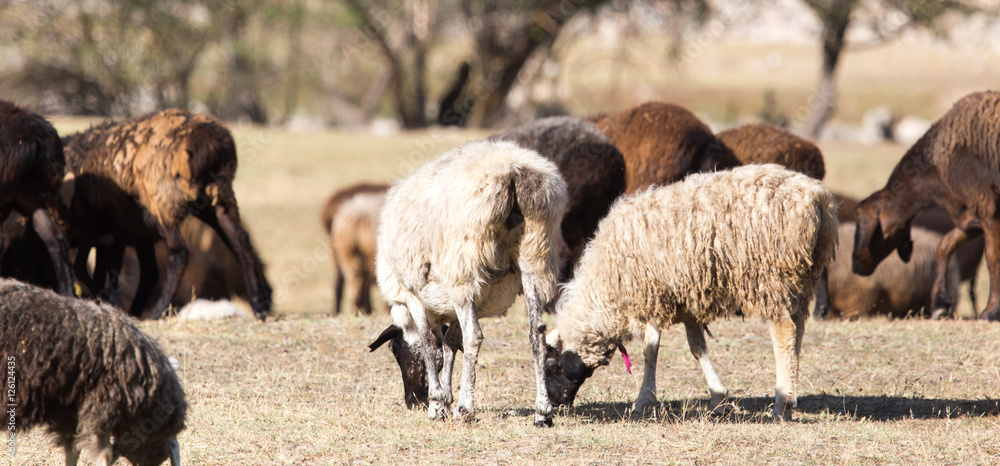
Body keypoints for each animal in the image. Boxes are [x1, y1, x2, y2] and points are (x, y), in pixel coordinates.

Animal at [60, 109, 272, 320]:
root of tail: (211, 142)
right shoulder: (127, 231)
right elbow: (121, 269)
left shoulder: (98, 228)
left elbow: (88, 267)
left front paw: (106, 299)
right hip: (218, 197)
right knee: (239, 239)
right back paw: (259, 304)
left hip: (164, 201)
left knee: (179, 252)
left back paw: (158, 310)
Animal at [375, 140, 567, 426]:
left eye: (394, 350)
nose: (413, 402)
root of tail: (513, 171)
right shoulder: (456, 303)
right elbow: (450, 344)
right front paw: (445, 397)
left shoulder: (412, 293)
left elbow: (430, 344)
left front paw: (437, 404)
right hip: (535, 252)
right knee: (537, 333)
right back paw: (542, 411)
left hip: (462, 265)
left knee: (474, 335)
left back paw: (465, 408)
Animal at [542, 164, 838, 421]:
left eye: (552, 367)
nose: (556, 404)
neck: (608, 287)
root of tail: (817, 200)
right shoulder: (688, 299)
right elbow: (696, 347)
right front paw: (718, 397)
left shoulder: (653, 294)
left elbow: (651, 349)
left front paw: (643, 400)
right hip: (802, 279)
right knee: (798, 332)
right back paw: (790, 399)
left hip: (771, 277)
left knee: (784, 334)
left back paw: (781, 403)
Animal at [852, 91, 1000, 320]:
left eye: (861, 224)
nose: (854, 264)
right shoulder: (971, 216)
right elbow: (945, 245)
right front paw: (940, 304)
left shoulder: (988, 210)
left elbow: (993, 258)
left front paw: (991, 310)